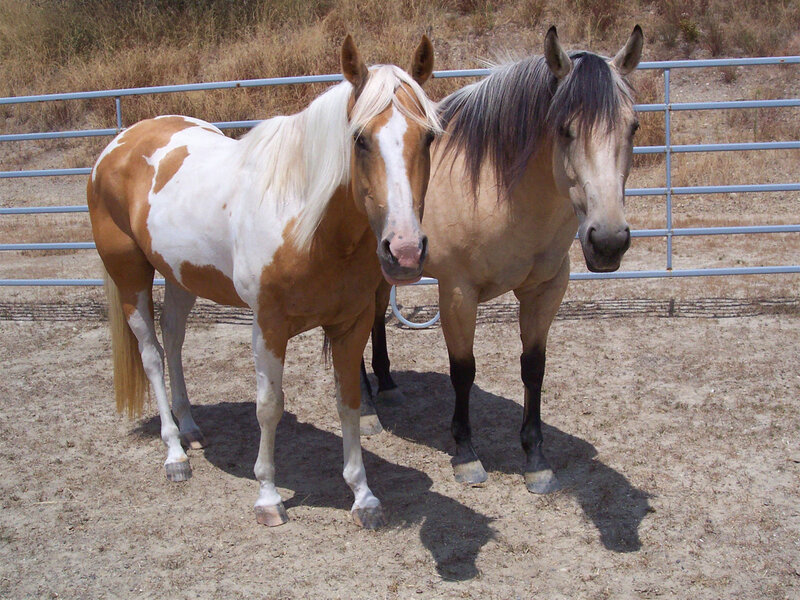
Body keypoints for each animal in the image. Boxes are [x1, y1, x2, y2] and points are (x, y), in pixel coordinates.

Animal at [88, 35, 441, 529]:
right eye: (359, 139)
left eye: (428, 136)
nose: (405, 251)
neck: (306, 222)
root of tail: (117, 145)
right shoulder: (269, 326)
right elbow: (269, 407)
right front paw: (269, 498)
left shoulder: (350, 325)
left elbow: (349, 402)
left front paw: (363, 497)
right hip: (130, 275)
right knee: (152, 355)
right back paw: (175, 453)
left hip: (180, 276)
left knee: (173, 340)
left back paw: (191, 429)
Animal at [361, 26, 644, 493]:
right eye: (564, 129)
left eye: (633, 126)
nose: (607, 241)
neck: (494, 188)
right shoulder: (458, 294)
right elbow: (463, 370)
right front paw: (466, 454)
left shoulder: (545, 290)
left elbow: (534, 368)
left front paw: (536, 458)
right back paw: (366, 408)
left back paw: (385, 385)